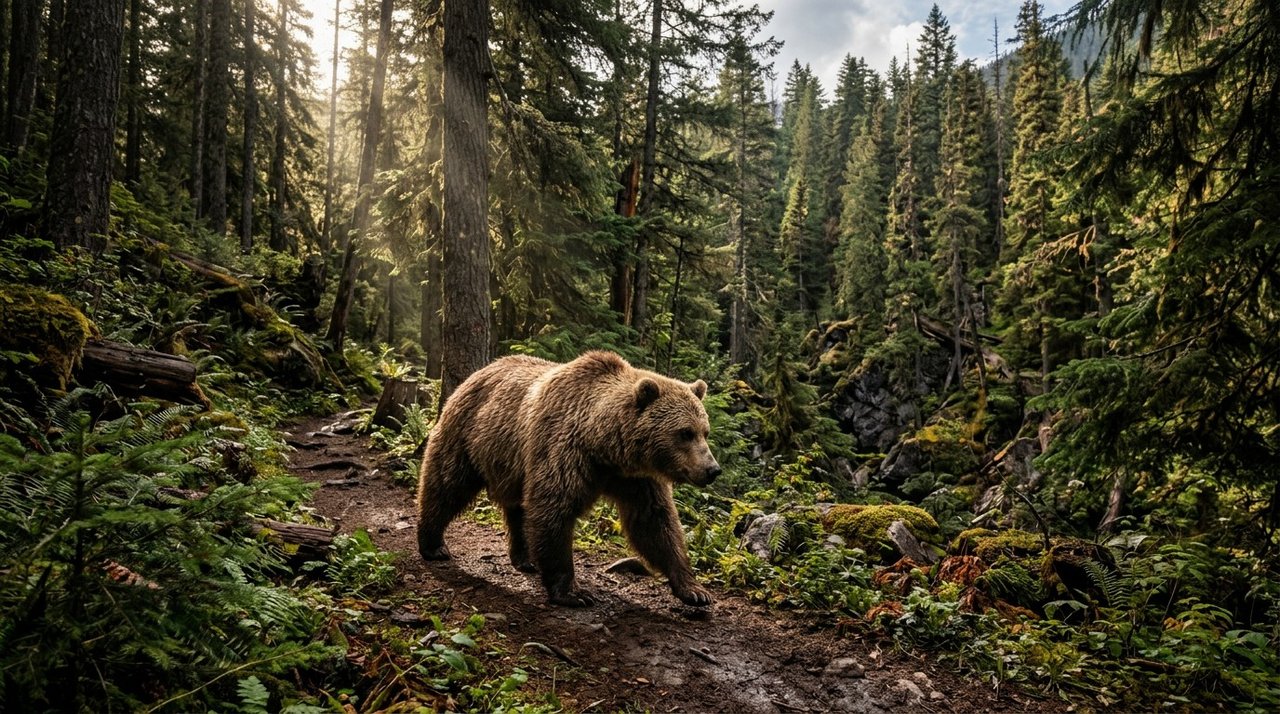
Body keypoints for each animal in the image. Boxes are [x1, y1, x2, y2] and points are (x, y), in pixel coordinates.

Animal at [416, 350, 720, 607]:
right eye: (685, 433)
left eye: (704, 431)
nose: (712, 469)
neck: (604, 447)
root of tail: (478, 372)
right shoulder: (565, 450)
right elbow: (554, 509)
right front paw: (573, 592)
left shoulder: (636, 478)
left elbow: (655, 522)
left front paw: (694, 589)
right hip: (469, 435)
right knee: (446, 483)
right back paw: (433, 544)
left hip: (512, 463)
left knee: (518, 507)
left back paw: (525, 558)